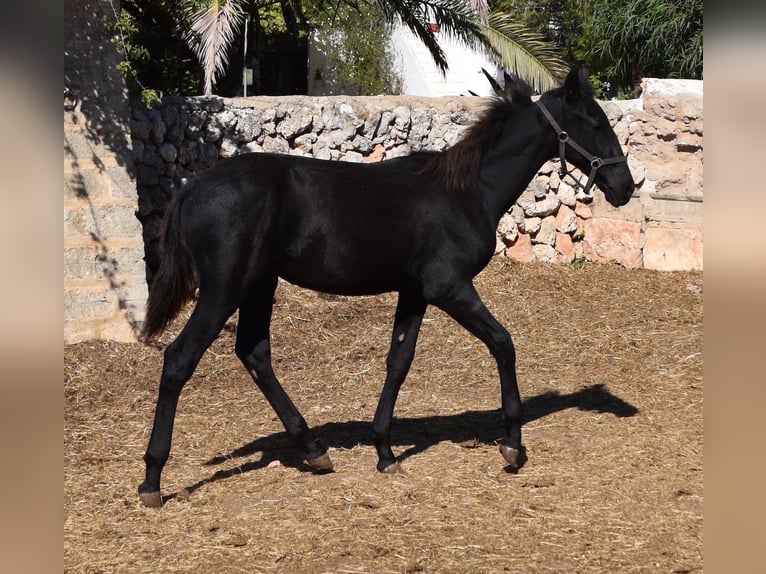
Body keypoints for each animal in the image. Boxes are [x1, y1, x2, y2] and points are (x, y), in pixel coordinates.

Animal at [136, 68, 636, 508]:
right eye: (595, 123)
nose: (625, 187)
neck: (468, 190)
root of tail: (192, 186)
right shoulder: (449, 286)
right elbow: (502, 343)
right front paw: (512, 445)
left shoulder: (414, 292)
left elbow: (399, 362)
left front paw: (385, 451)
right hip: (225, 288)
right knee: (179, 359)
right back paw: (152, 481)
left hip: (260, 284)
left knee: (254, 353)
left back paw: (314, 451)